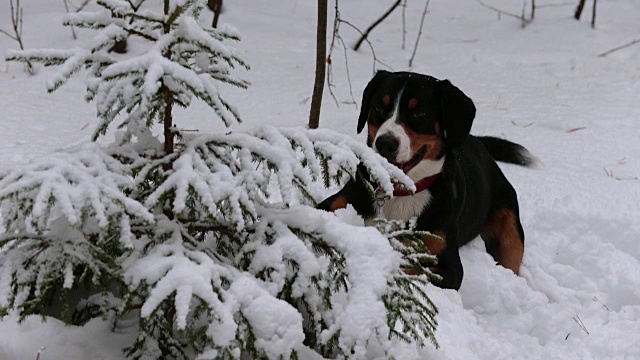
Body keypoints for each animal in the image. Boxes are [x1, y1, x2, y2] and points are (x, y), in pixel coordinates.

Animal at [318, 70, 536, 290]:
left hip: (508, 230)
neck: (401, 191)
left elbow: (411, 270)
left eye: (420, 113)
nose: (385, 143)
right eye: (379, 107)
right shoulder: (338, 203)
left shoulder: (448, 264)